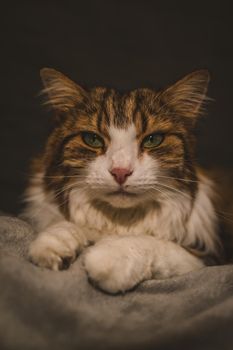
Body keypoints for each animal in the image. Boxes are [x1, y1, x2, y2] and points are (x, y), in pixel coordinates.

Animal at [23, 67, 229, 294]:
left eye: (153, 140)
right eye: (92, 139)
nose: (120, 172)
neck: (121, 220)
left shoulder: (206, 259)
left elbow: (151, 243)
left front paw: (109, 258)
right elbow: (66, 224)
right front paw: (53, 243)